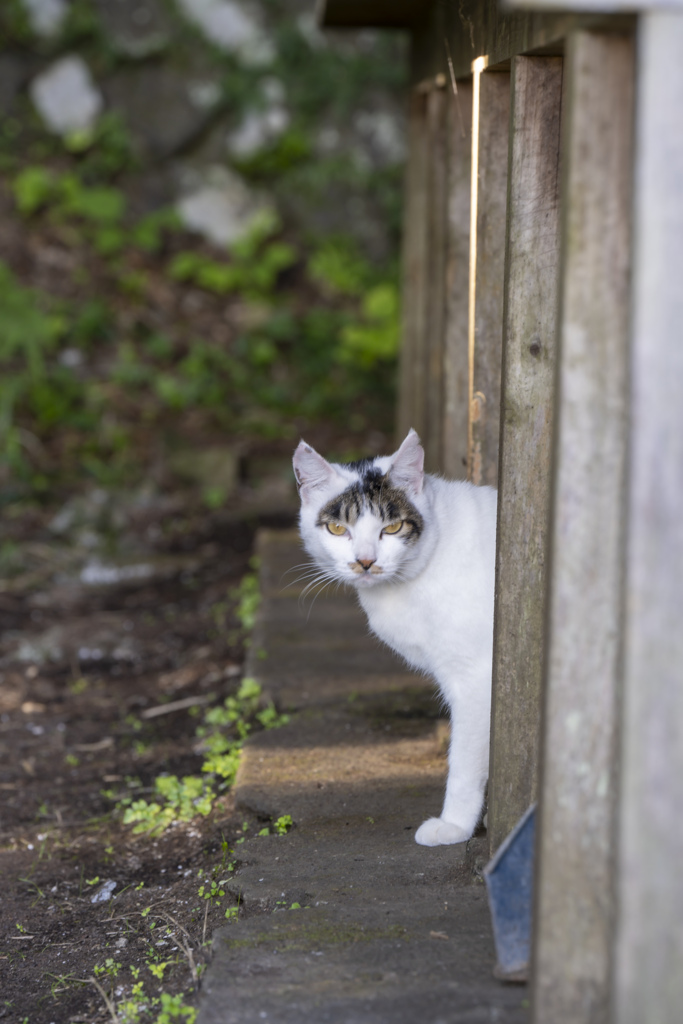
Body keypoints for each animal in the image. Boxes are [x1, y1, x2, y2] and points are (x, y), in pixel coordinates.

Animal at [292, 428, 497, 843]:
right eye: (338, 529)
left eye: (392, 528)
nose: (365, 561)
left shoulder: (477, 678)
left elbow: (465, 761)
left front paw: (456, 825)